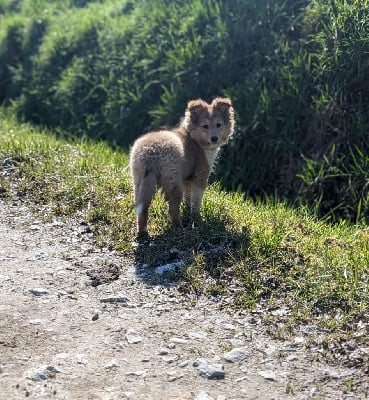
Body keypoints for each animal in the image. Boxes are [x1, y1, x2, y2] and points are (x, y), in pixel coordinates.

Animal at [129, 97, 233, 234]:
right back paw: (178, 226)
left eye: (219, 124)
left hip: (139, 181)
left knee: (142, 209)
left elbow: (188, 197)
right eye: (205, 126)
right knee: (173, 208)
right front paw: (196, 218)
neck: (195, 140)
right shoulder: (200, 176)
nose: (214, 138)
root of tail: (150, 153)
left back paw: (142, 231)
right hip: (174, 182)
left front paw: (187, 211)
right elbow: (196, 200)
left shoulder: (187, 179)